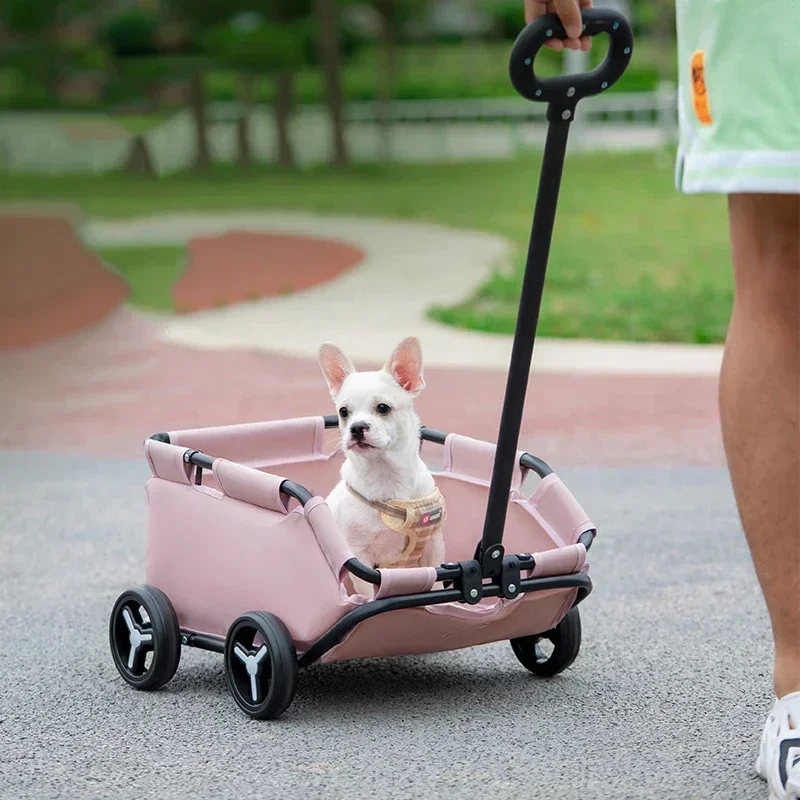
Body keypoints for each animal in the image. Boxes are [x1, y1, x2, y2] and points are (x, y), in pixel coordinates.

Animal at [318, 334, 444, 596]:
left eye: (383, 408)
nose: (356, 427)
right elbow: (368, 594)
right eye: (343, 412)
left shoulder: (434, 546)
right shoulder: (359, 557)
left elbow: (436, 585)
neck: (387, 474)